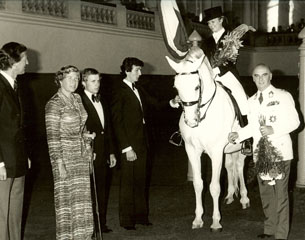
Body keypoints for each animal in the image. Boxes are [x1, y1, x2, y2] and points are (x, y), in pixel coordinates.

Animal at [166, 49, 249, 232]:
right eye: (176, 87)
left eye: (197, 86)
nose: (191, 121)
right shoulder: (192, 151)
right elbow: (198, 184)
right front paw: (198, 219)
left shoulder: (216, 152)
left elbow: (214, 187)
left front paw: (216, 222)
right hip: (229, 150)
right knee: (230, 167)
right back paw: (230, 195)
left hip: (241, 148)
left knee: (240, 168)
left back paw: (244, 199)